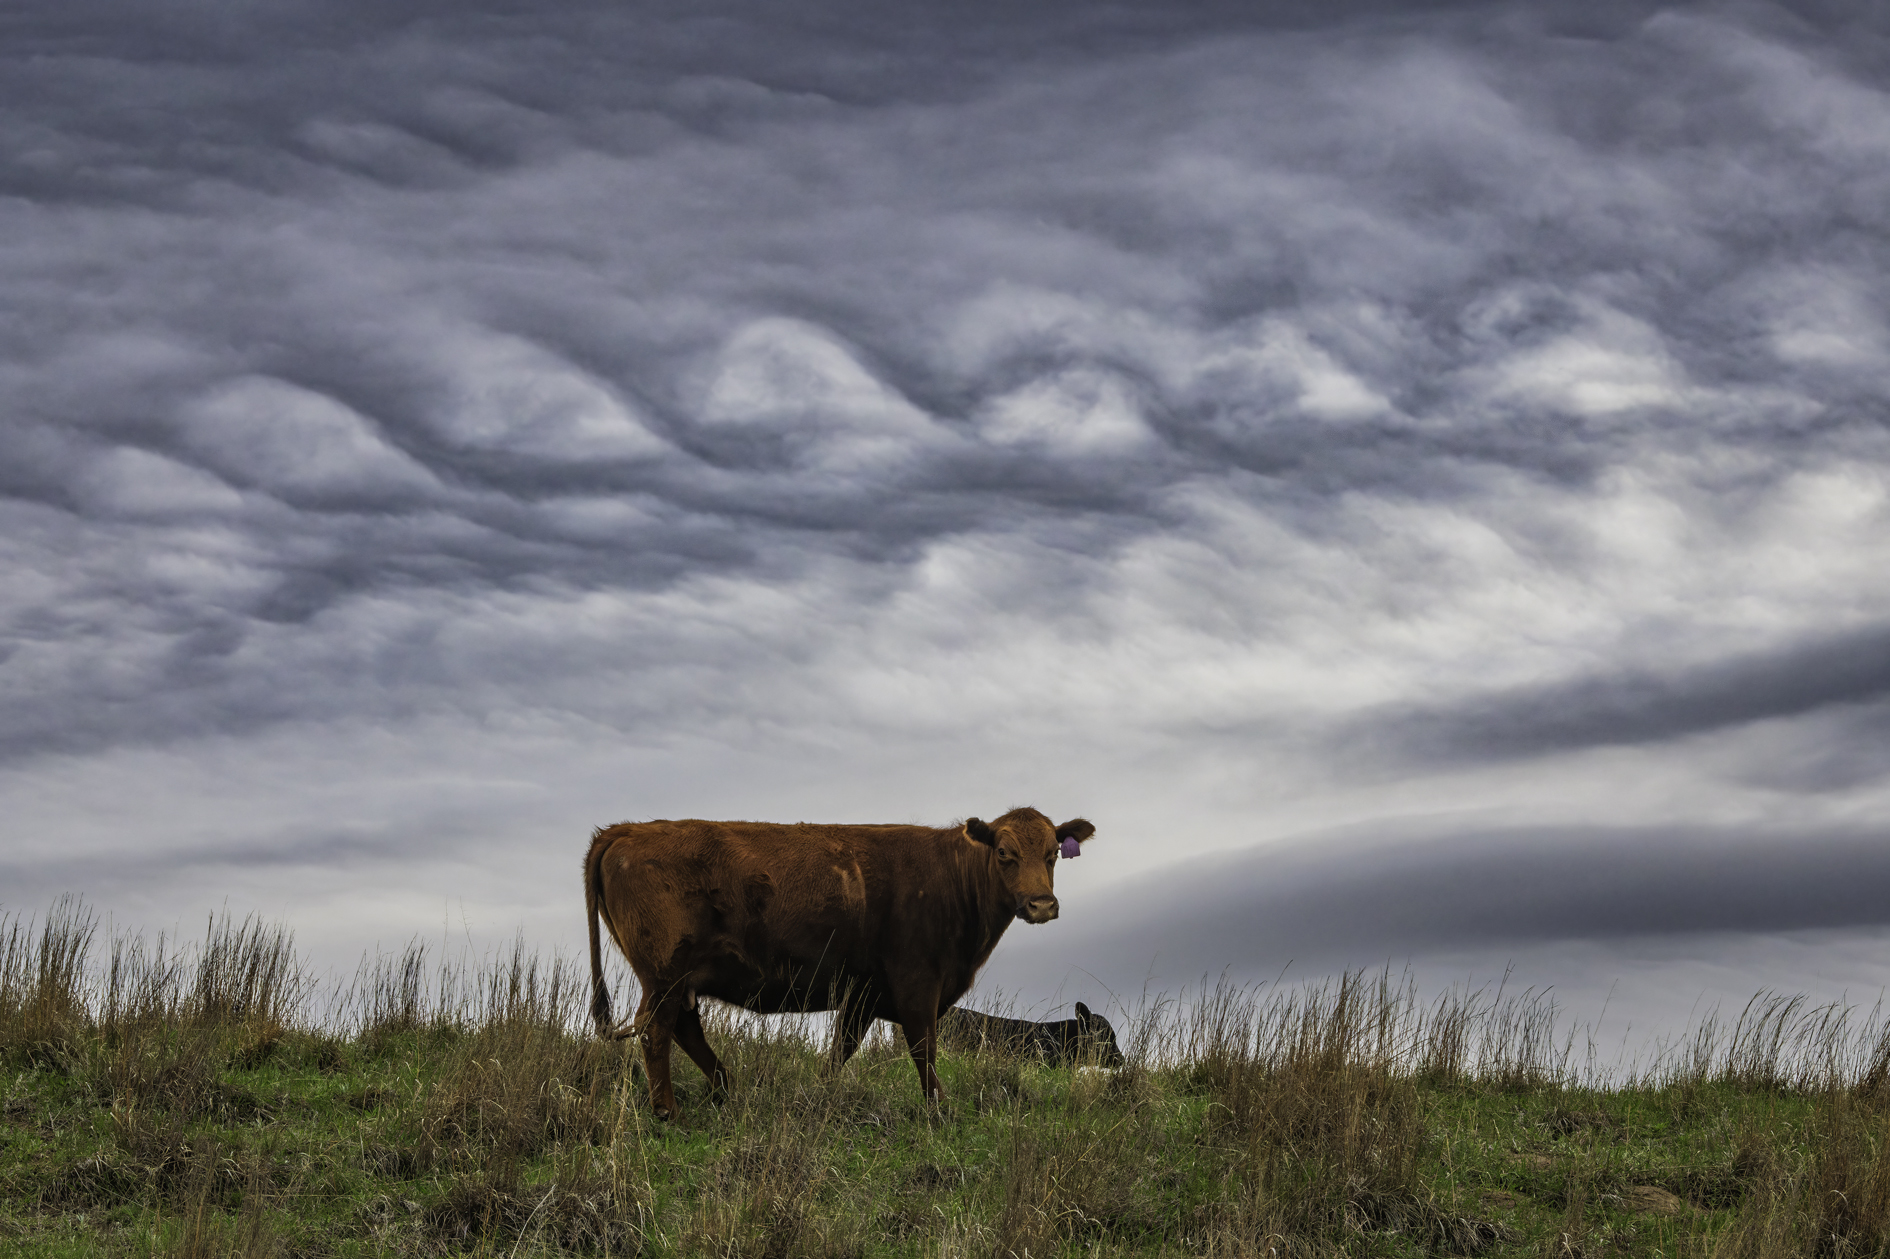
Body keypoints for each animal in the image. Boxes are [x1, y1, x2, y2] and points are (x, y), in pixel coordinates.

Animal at [585, 805, 1096, 1111]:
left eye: (1052, 853)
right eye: (1005, 853)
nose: (1041, 904)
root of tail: (624, 831)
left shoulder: (864, 993)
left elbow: (840, 1050)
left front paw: (819, 1094)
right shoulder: (917, 982)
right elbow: (924, 1048)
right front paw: (939, 1110)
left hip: (680, 979)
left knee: (684, 1029)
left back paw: (727, 1088)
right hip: (665, 973)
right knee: (656, 1032)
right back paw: (667, 1111)